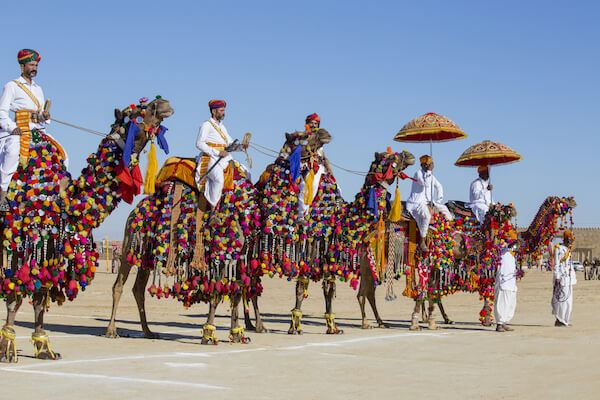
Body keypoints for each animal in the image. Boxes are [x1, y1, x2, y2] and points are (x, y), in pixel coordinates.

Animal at [0, 97, 173, 362]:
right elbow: (14, 296)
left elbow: (40, 296)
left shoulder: (52, 247)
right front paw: (8, 349)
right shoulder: (21, 241)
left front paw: (44, 348)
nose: (163, 103)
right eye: (135, 114)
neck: (61, 197)